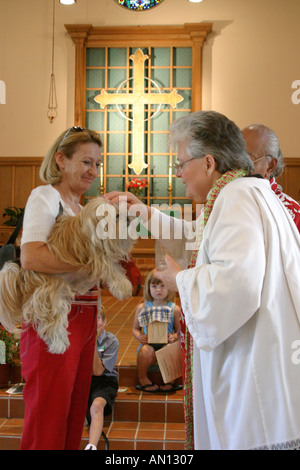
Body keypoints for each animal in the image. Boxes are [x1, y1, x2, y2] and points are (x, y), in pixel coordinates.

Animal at [0, 196, 135, 354]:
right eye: (117, 215)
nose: (127, 217)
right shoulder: (96, 256)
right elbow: (111, 270)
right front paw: (123, 287)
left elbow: (115, 267)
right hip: (49, 293)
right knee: (51, 321)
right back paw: (58, 344)